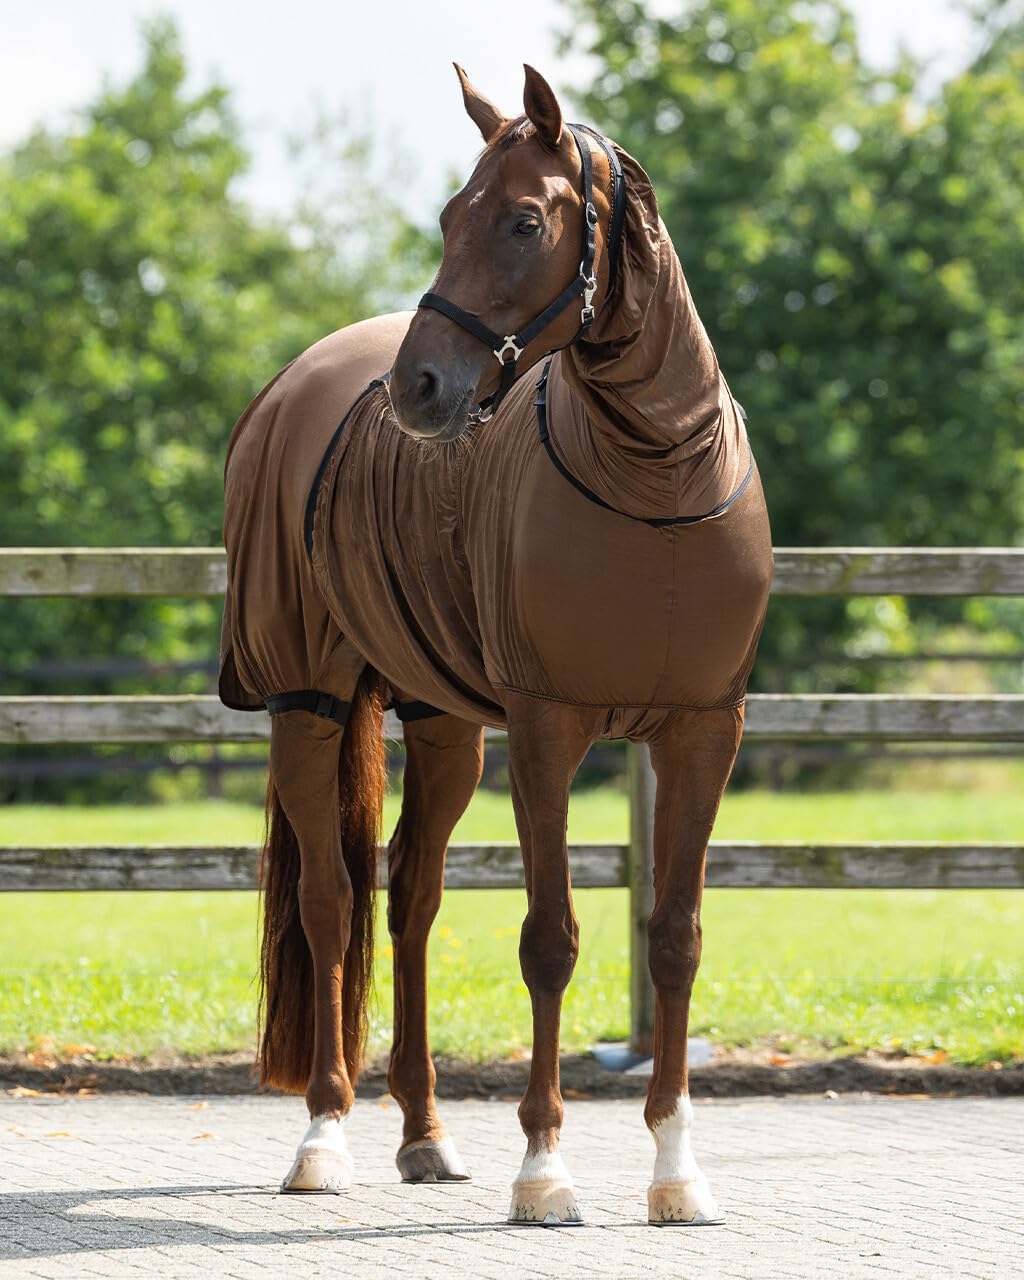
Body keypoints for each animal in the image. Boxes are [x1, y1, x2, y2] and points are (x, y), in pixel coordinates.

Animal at [219, 63, 772, 1226]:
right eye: (446, 218)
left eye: (524, 220)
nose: (417, 389)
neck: (655, 483)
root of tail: (301, 380)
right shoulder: (546, 729)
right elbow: (549, 940)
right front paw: (545, 1168)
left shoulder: (704, 731)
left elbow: (674, 938)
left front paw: (675, 1170)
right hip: (306, 700)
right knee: (331, 902)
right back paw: (323, 1137)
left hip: (442, 730)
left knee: (409, 904)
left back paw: (424, 1136)